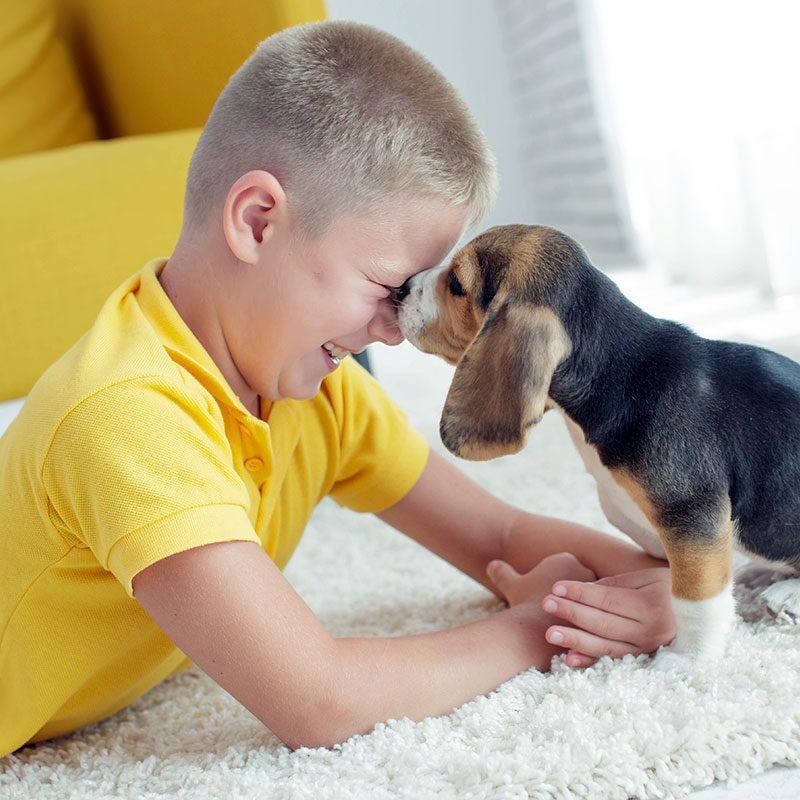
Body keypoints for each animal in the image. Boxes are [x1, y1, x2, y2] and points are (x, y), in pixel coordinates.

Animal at [396, 223, 800, 664]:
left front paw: (686, 659)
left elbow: (695, 598)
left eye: (456, 284)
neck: (618, 371)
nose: (401, 288)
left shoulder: (692, 516)